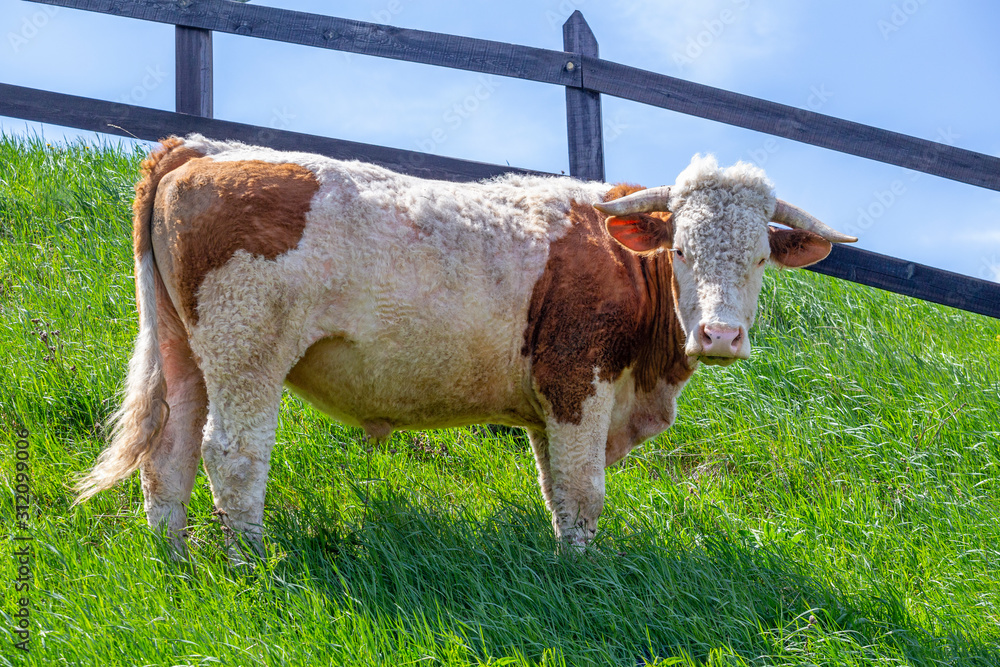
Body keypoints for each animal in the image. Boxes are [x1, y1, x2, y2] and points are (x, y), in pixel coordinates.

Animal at [78, 134, 856, 552]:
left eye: (759, 258)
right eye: (685, 252)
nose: (721, 335)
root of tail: (203, 148)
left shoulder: (550, 404)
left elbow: (558, 492)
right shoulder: (579, 381)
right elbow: (584, 491)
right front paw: (584, 578)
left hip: (183, 349)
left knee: (168, 455)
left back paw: (176, 561)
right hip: (246, 349)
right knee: (231, 456)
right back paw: (252, 564)